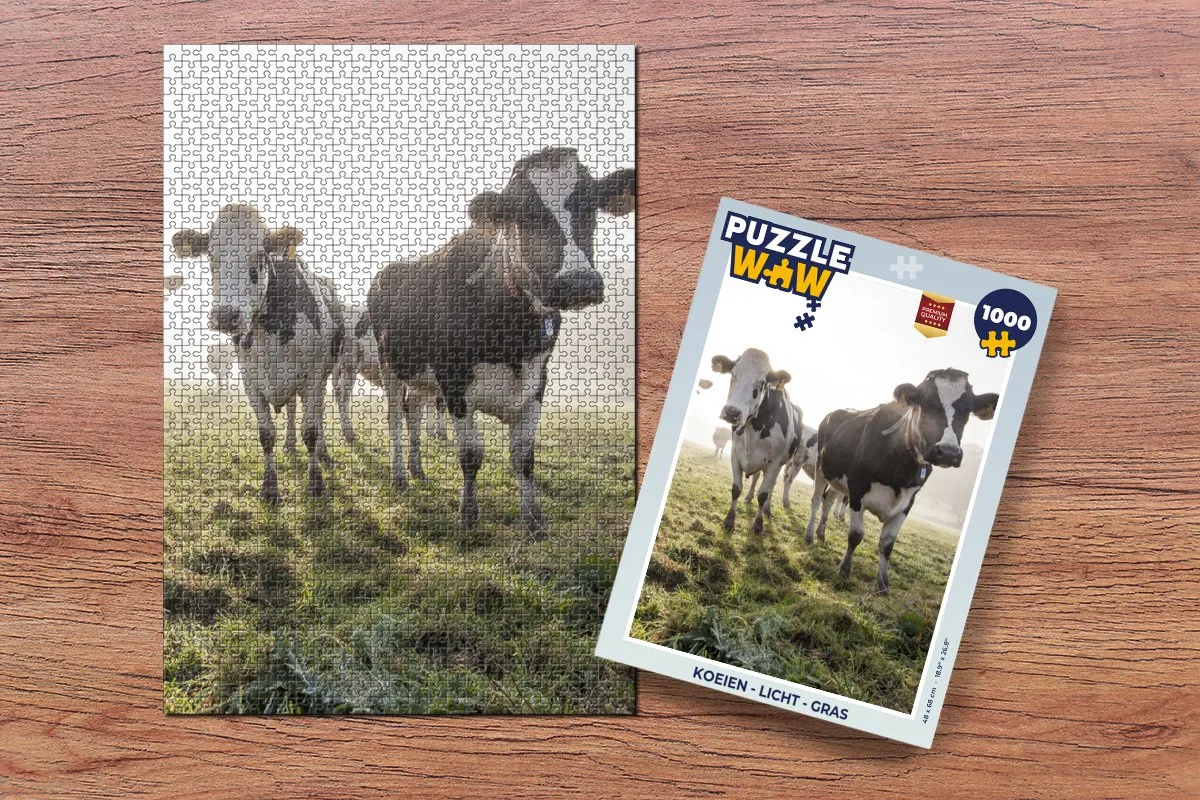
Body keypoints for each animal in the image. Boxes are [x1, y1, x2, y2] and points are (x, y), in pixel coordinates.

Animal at [172, 204, 346, 503]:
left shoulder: (313, 377)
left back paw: (323, 453)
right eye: (211, 258)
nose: (226, 316)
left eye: (260, 256)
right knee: (291, 409)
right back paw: (289, 444)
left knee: (318, 414)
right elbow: (266, 435)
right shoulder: (250, 380)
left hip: (323, 376)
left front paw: (315, 482)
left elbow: (311, 430)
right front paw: (270, 487)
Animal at [334, 307, 447, 446]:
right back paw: (349, 433)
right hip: (350, 363)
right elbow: (439, 404)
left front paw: (431, 431)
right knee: (342, 393)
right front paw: (441, 432)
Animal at [366, 147, 635, 535]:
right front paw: (468, 515)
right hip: (390, 366)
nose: (578, 282)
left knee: (413, 413)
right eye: (524, 214)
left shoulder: (537, 383)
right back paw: (400, 473)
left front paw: (534, 520)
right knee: (394, 418)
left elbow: (524, 457)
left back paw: (417, 469)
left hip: (419, 376)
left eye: (590, 205)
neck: (513, 337)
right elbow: (470, 454)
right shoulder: (454, 382)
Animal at [710, 348, 802, 534]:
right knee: (755, 478)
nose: (732, 412)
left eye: (762, 383)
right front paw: (730, 520)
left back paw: (767, 509)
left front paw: (758, 524)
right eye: (733, 374)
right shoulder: (735, 453)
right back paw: (748, 497)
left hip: (781, 463)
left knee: (772, 485)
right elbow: (736, 489)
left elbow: (764, 494)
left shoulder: (774, 462)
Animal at [805, 368, 998, 594]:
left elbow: (887, 544)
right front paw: (844, 570)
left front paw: (883, 584)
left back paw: (821, 534)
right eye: (926, 403)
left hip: (838, 479)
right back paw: (809, 535)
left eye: (967, 410)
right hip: (821, 467)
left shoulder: (907, 502)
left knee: (828, 500)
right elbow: (856, 535)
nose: (948, 452)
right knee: (817, 500)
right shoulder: (857, 489)